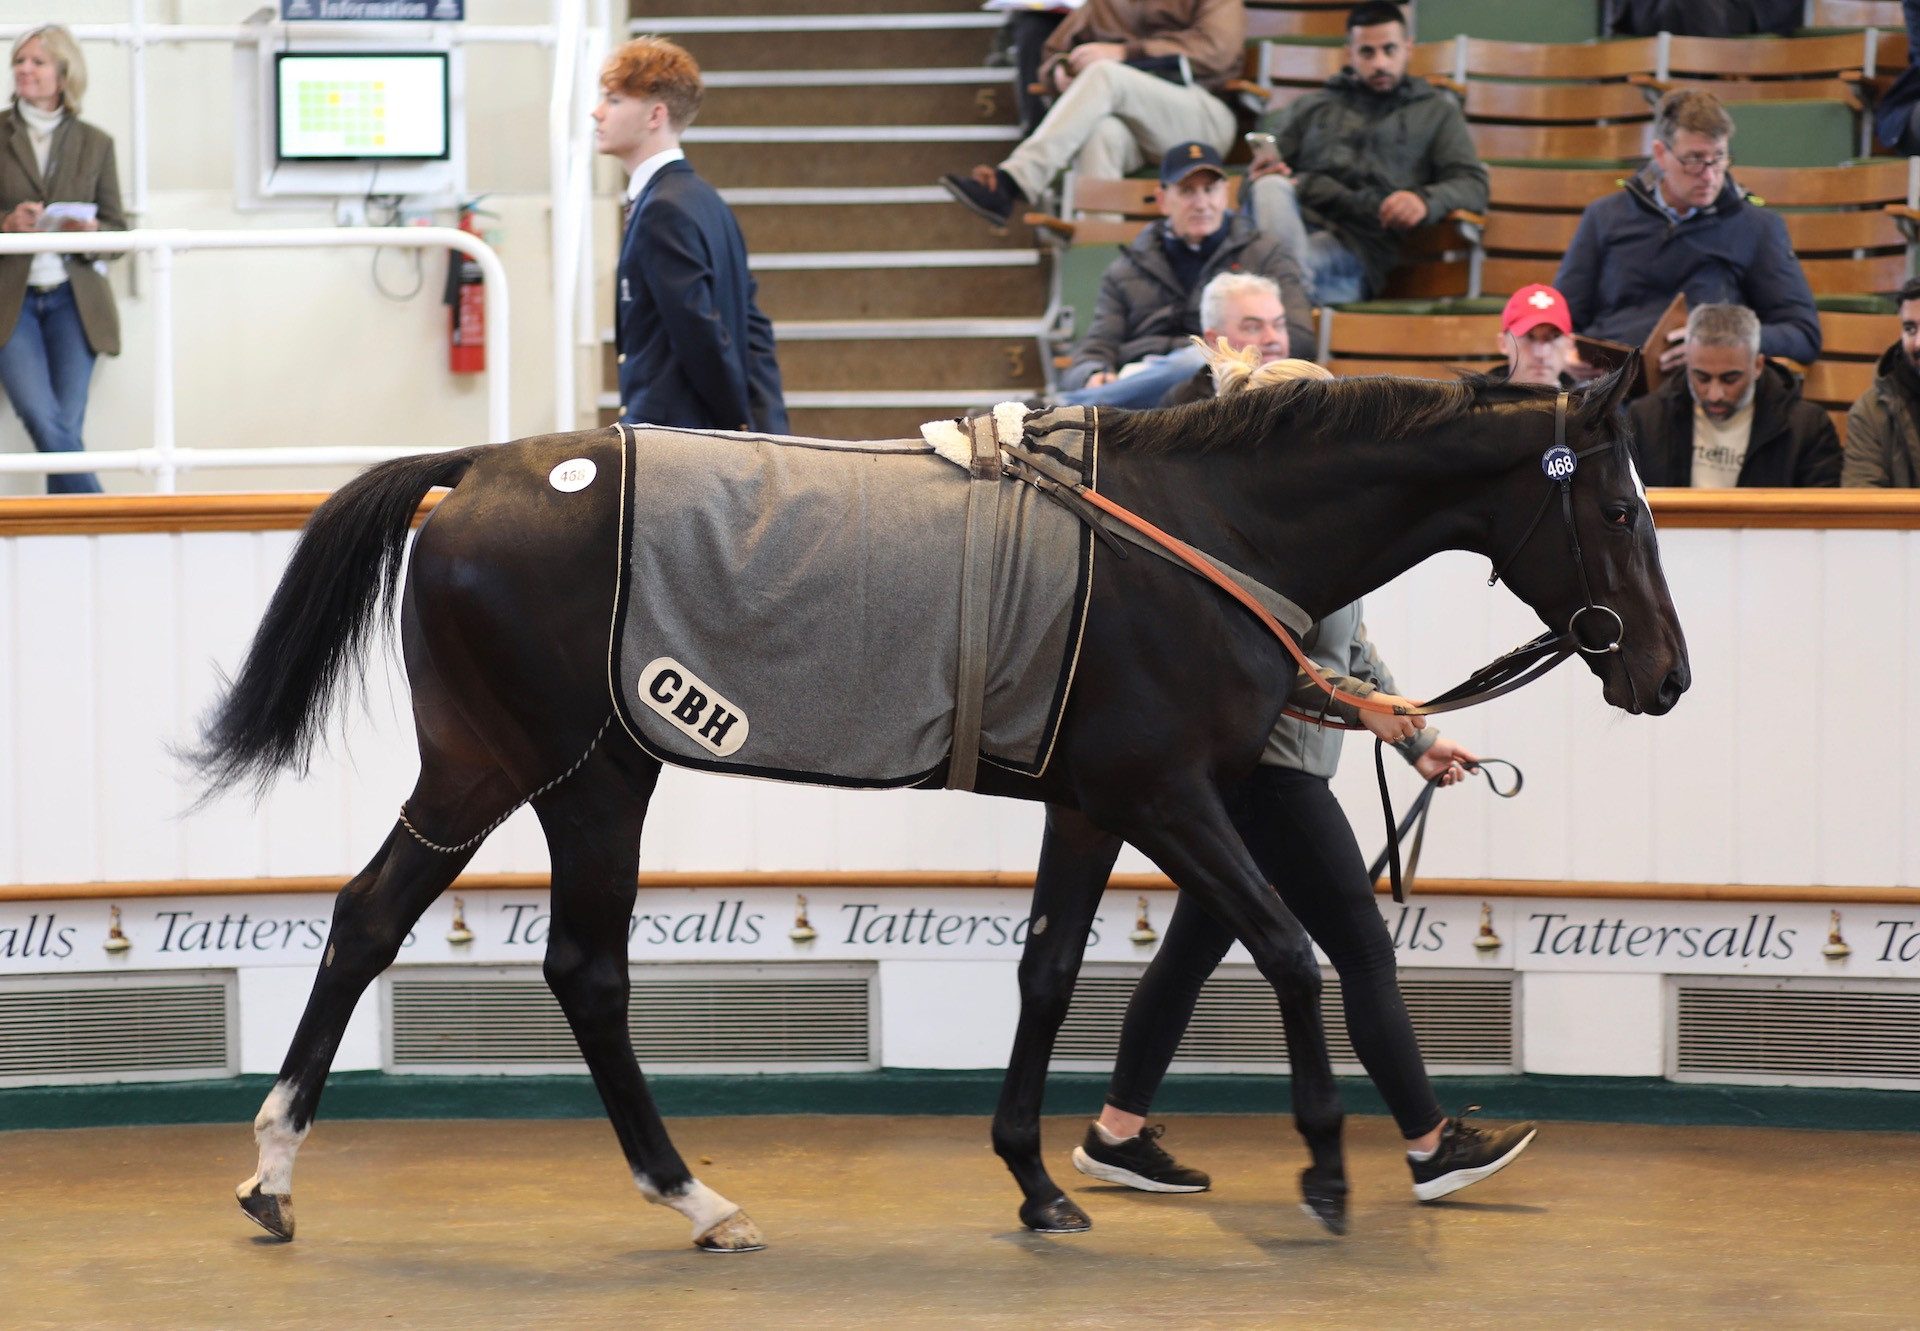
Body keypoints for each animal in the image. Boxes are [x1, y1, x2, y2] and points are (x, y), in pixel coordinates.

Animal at [191, 363, 1681, 1244]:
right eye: (1620, 507)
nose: (1663, 673)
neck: (1207, 531)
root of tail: (474, 472)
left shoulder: (1094, 799)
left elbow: (1051, 968)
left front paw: (1036, 1175)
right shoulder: (1171, 791)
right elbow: (1289, 947)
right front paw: (1323, 1165)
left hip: (565, 772)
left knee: (480, 944)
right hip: (527, 766)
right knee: (457, 936)